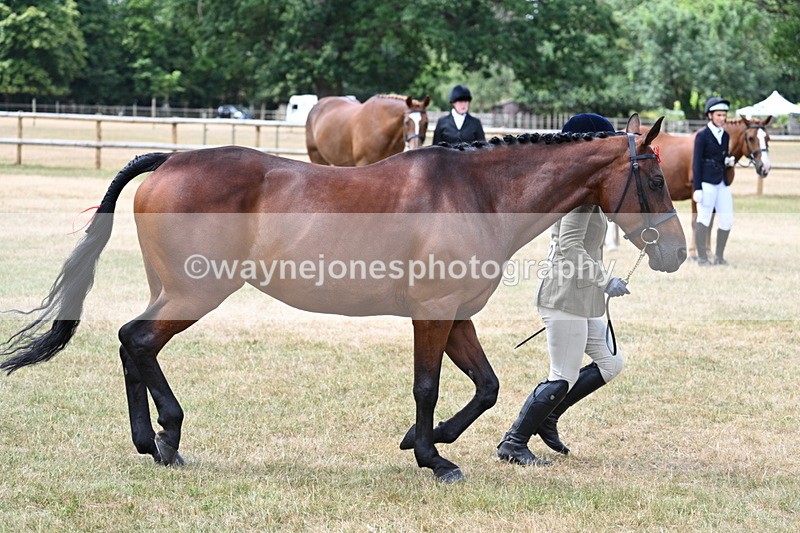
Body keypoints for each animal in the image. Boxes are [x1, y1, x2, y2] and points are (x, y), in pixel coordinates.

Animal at [0, 114, 686, 483]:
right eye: (654, 178)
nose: (677, 253)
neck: (476, 193)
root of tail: (170, 159)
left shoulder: (456, 313)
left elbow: (486, 387)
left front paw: (427, 441)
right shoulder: (431, 313)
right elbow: (428, 386)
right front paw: (434, 457)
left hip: (173, 289)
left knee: (131, 342)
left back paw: (154, 442)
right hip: (197, 290)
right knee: (139, 341)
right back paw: (164, 438)